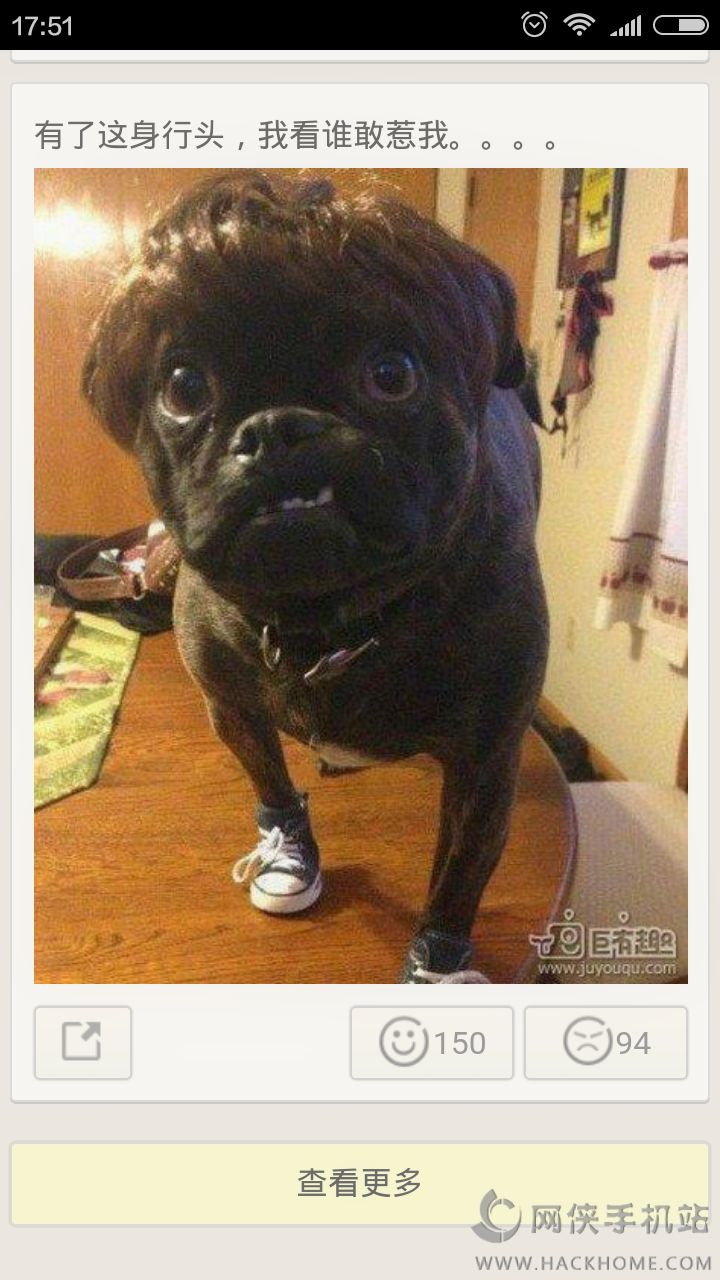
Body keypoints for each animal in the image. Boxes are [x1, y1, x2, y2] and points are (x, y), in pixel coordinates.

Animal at [82, 173, 548, 982]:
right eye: (183, 389)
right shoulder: (232, 711)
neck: (331, 625)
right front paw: (290, 854)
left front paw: (436, 962)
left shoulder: (486, 768)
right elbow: (271, 785)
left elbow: (459, 874)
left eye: (392, 374)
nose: (278, 427)